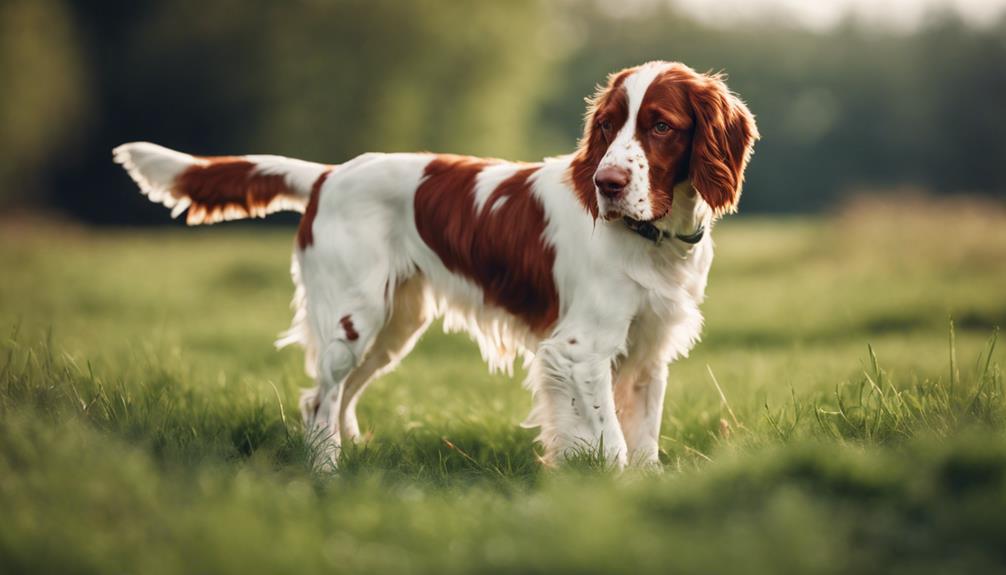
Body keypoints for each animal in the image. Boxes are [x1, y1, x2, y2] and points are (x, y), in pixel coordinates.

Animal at [114, 61, 756, 466]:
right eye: (606, 125)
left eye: (661, 125)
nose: (606, 183)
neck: (652, 237)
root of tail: (327, 175)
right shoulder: (579, 351)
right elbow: (612, 443)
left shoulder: (648, 356)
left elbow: (642, 445)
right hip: (354, 320)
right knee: (320, 398)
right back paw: (328, 475)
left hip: (395, 324)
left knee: (338, 398)